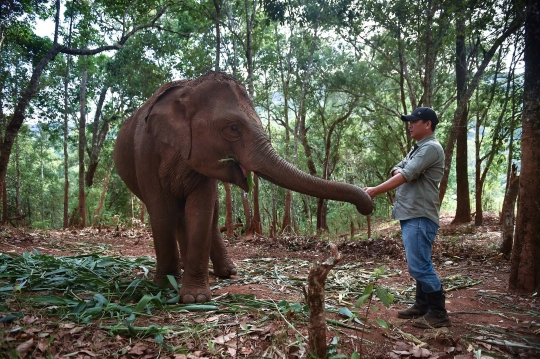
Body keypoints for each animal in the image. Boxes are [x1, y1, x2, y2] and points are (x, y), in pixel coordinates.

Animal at [114, 72, 374, 304]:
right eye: (233, 128)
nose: (367, 205)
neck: (189, 87)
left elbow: (201, 212)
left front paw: (194, 297)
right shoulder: (144, 155)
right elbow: (160, 212)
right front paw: (166, 286)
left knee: (205, 216)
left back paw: (227, 272)